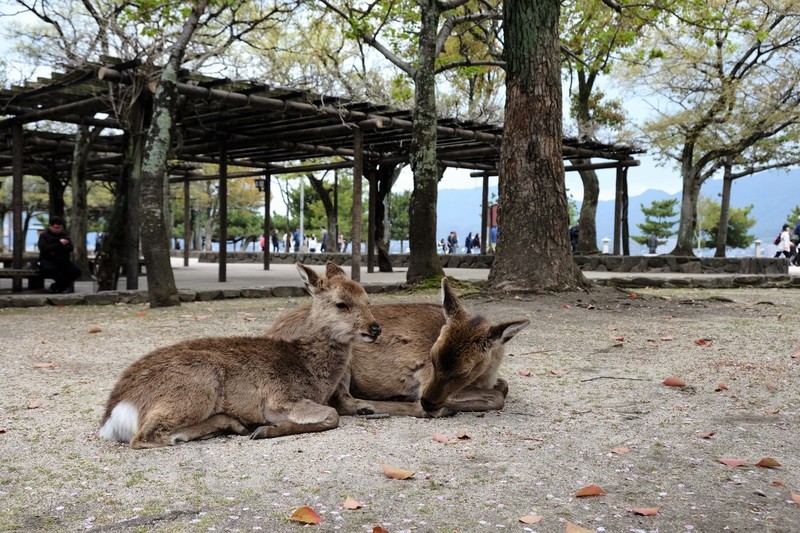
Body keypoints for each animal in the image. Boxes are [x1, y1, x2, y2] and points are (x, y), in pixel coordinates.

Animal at [270, 276, 532, 418]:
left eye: (464, 371)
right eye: (432, 357)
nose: (428, 401)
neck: (488, 373)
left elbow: (504, 386)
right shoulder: (425, 379)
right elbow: (498, 397)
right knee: (343, 401)